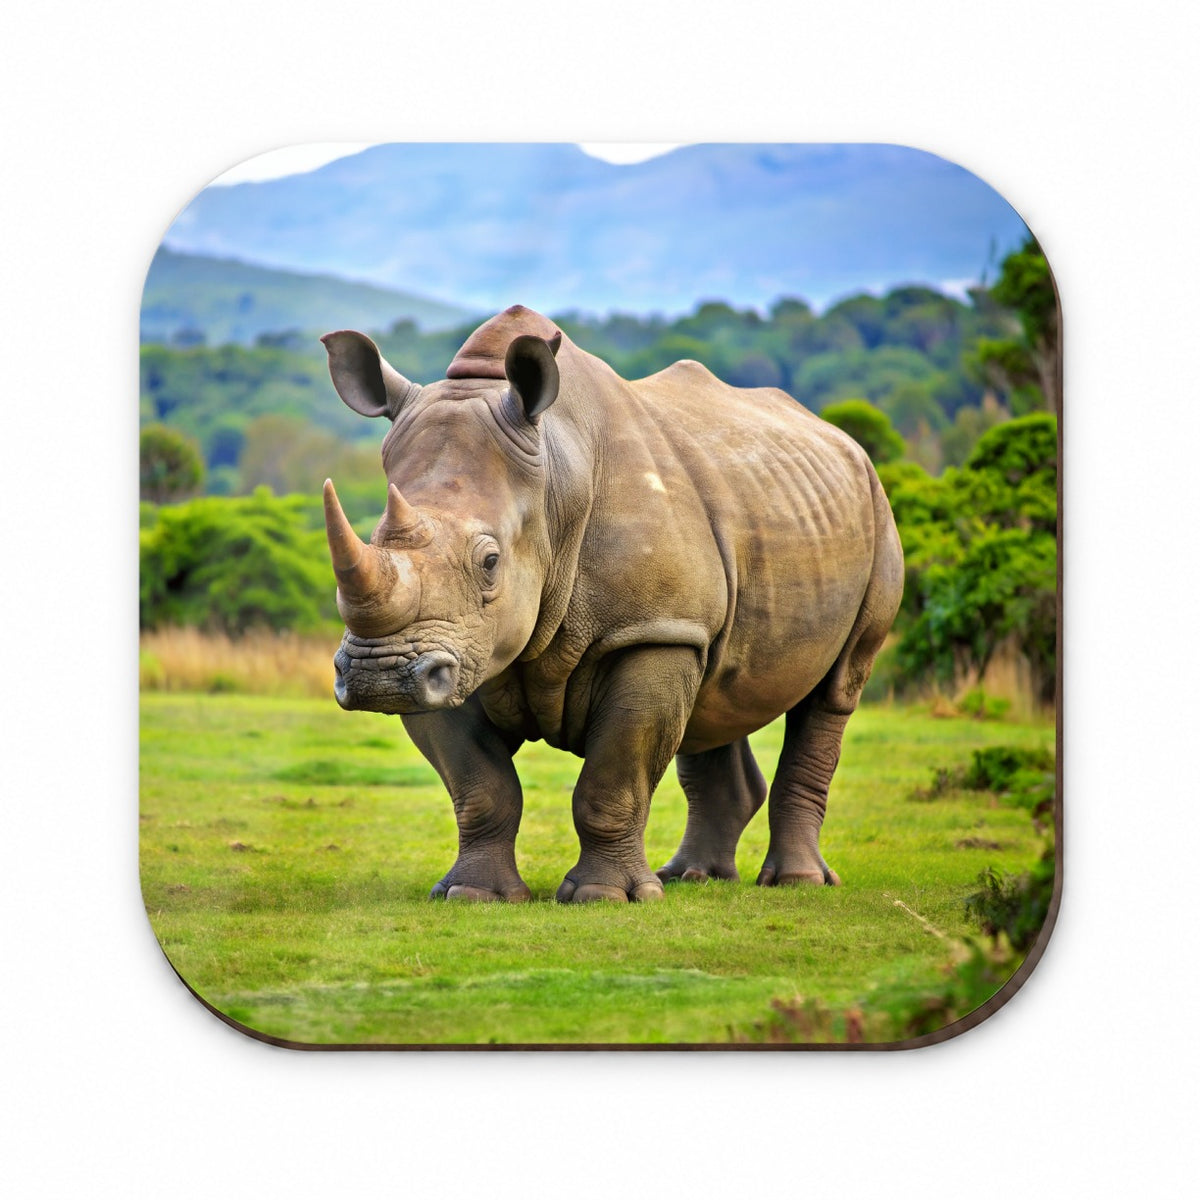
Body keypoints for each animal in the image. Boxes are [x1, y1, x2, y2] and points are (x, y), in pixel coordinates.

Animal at [321, 305, 903, 903]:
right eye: (369, 539)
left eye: (490, 562)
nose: (377, 675)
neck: (556, 478)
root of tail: (843, 441)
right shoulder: (452, 653)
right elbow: (480, 786)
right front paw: (474, 895)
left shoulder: (650, 630)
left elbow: (613, 777)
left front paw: (605, 896)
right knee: (714, 695)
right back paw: (691, 877)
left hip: (875, 513)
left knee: (835, 690)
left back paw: (794, 882)